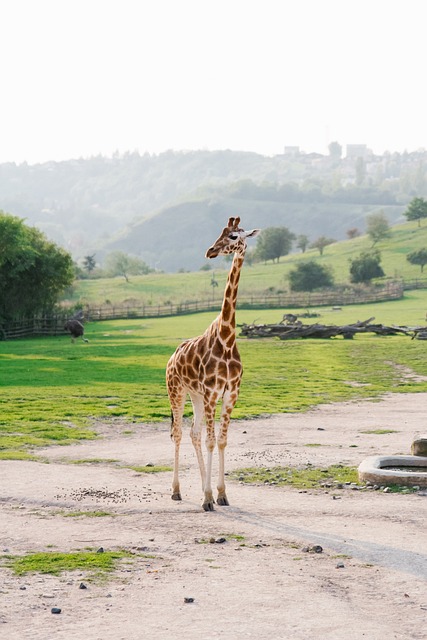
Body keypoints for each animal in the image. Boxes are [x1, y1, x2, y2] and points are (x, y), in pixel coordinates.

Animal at [166, 218, 260, 512]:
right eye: (219, 233)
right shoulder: (211, 392)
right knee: (178, 433)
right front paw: (208, 498)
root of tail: (171, 357)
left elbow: (220, 440)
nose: (210, 251)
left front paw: (220, 494)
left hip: (195, 395)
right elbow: (210, 440)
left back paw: (198, 488)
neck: (227, 338)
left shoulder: (230, 394)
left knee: (194, 433)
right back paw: (176, 491)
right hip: (177, 391)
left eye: (233, 236)